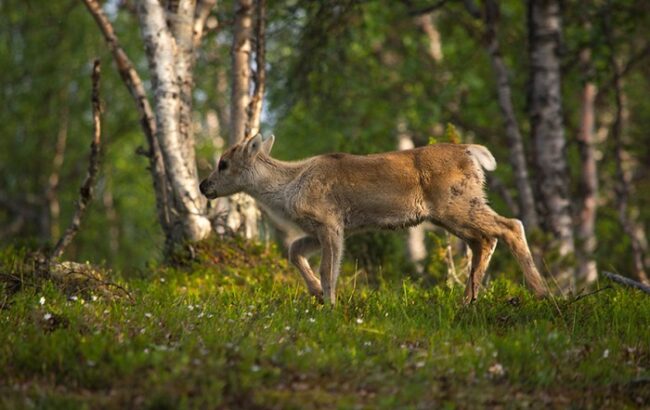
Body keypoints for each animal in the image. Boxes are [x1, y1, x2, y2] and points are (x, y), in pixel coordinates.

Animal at [200, 135, 544, 304]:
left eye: (223, 163)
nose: (204, 186)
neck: (288, 187)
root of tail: (472, 152)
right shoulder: (323, 229)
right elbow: (294, 250)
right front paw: (316, 294)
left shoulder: (330, 222)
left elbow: (329, 270)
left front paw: (330, 305)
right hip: (453, 213)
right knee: (484, 239)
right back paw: (468, 301)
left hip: (455, 204)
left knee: (510, 226)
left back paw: (541, 294)